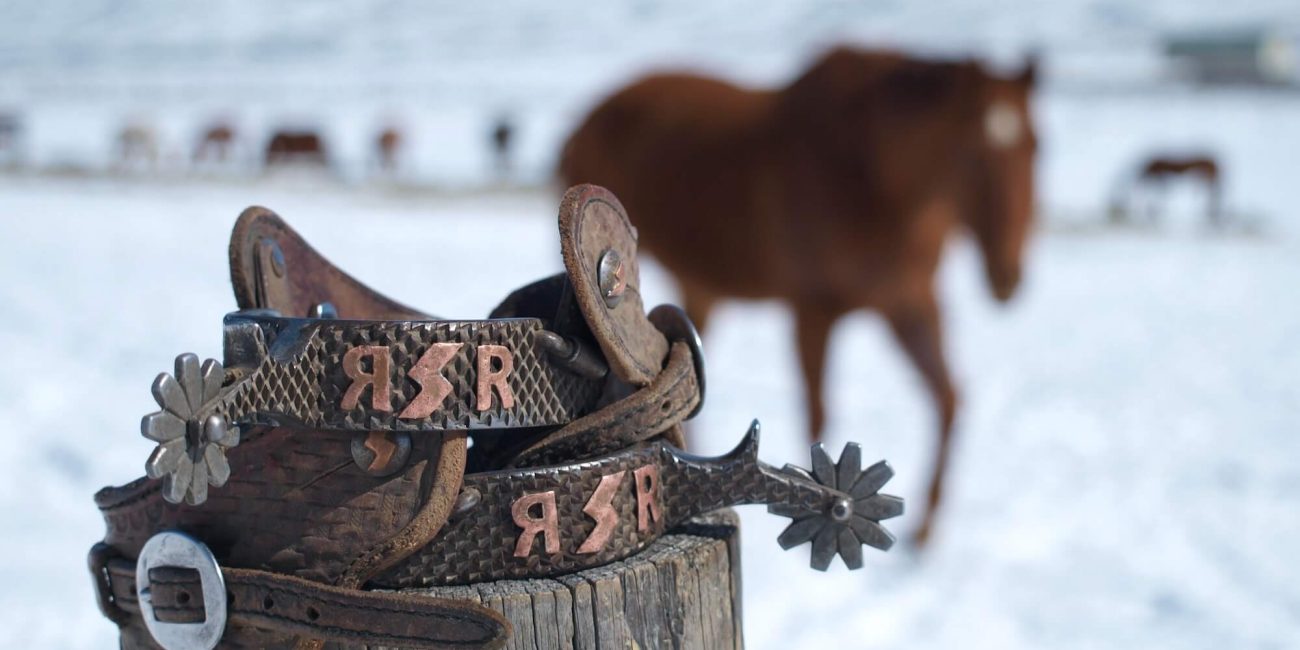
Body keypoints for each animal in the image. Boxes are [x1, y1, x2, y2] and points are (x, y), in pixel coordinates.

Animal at [560, 47, 1038, 546]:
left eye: (1036, 147)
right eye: (973, 155)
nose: (1009, 275)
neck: (871, 179)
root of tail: (586, 120)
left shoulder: (910, 303)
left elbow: (948, 400)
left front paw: (925, 533)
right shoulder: (814, 310)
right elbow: (818, 414)